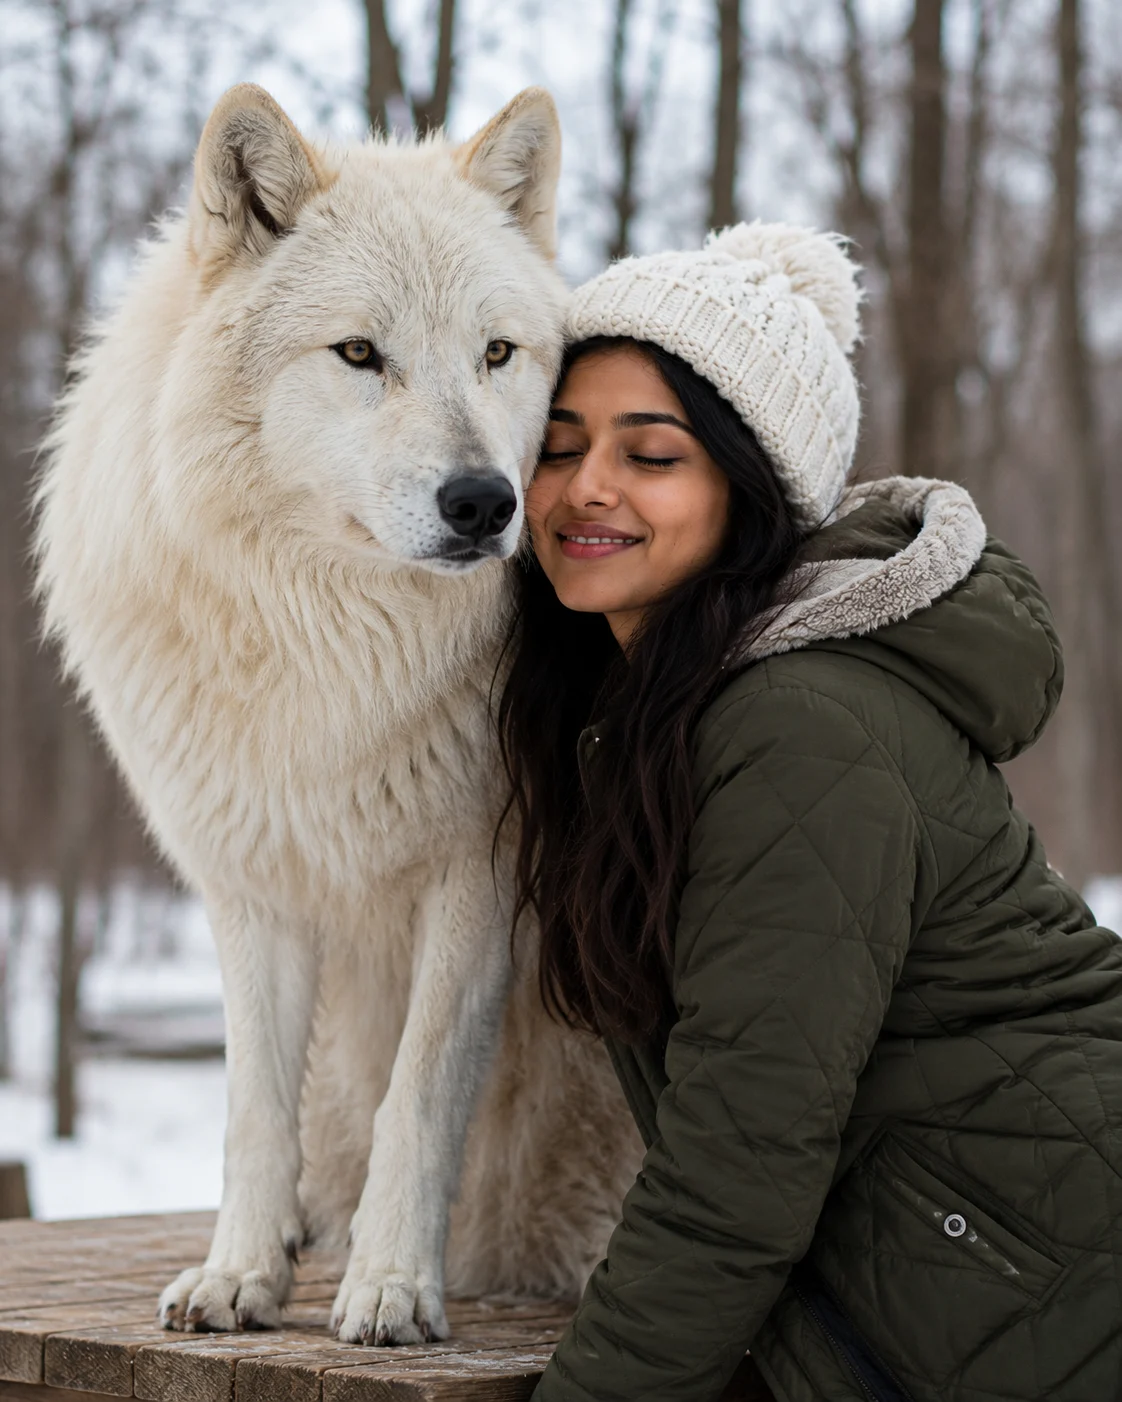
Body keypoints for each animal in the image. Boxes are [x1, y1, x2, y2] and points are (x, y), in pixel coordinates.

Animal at [35, 83, 638, 1345]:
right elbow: (255, 1109)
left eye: (496, 353)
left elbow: (420, 1095)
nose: (485, 502)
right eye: (360, 353)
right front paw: (240, 1276)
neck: (332, 646)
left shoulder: (477, 878)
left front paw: (393, 1288)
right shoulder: (252, 885)